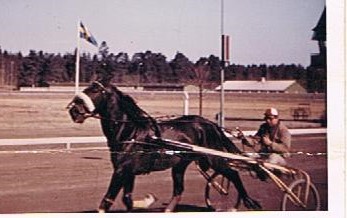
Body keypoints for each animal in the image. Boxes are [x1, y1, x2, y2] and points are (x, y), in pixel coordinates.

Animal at [67, 81, 260, 212]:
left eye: (95, 90)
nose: (73, 110)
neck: (130, 132)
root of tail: (210, 124)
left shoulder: (121, 170)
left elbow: (106, 201)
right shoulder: (128, 171)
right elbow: (127, 199)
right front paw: (147, 200)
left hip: (213, 158)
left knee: (233, 173)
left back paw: (249, 202)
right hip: (180, 165)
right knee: (179, 190)